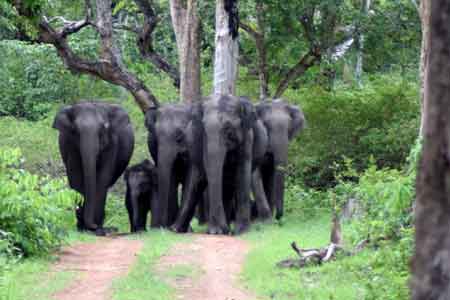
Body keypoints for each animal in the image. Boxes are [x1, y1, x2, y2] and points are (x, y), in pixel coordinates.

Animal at [53, 102, 134, 236]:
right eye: (75, 130)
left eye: (103, 128)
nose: (94, 226)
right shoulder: (71, 144)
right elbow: (75, 176)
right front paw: (82, 229)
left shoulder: (112, 144)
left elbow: (103, 177)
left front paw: (98, 230)